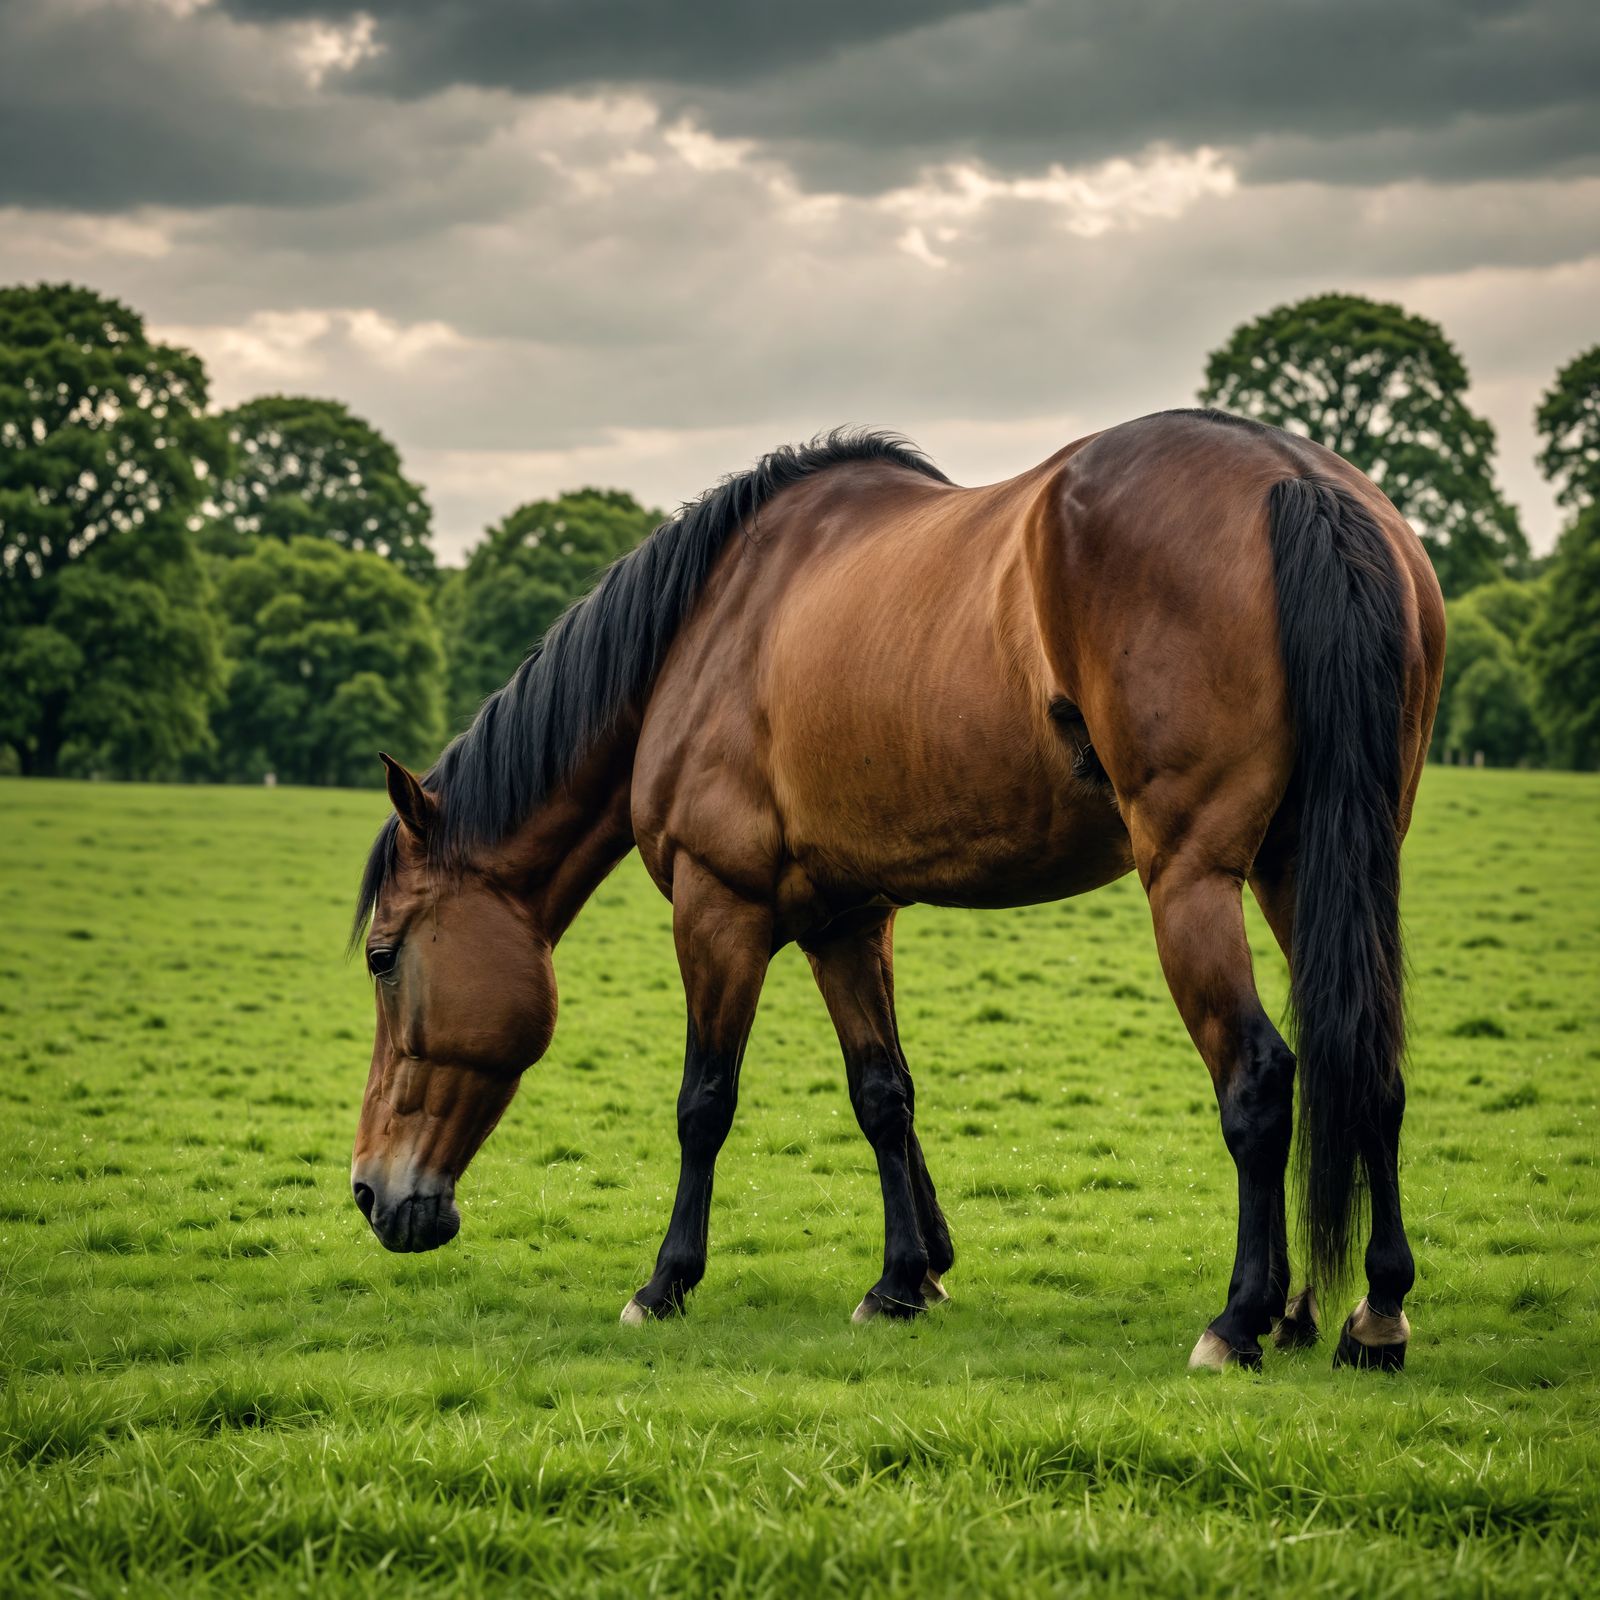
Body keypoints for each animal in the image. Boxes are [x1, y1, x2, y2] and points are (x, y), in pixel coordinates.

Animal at [349, 409, 1444, 1373]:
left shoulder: (717, 905)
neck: (711, 624)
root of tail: (1296, 482)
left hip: (1194, 880)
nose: (369, 1191)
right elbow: (884, 1094)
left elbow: (704, 1101)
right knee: (1368, 1066)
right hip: (1306, 864)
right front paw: (906, 1277)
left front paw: (665, 1284)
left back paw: (1241, 1318)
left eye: (382, 955)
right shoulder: (847, 917)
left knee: (1258, 1076)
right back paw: (1365, 1312)